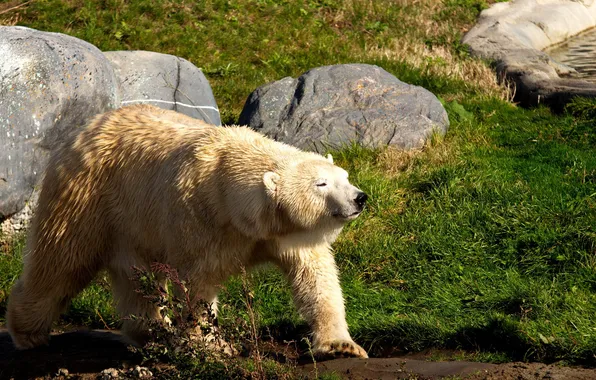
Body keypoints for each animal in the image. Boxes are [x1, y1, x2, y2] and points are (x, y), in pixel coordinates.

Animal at [5, 104, 368, 360]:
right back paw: (28, 332)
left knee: (135, 280)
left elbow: (316, 278)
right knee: (61, 260)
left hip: (132, 223)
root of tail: (85, 129)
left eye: (344, 176)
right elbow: (198, 285)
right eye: (321, 184)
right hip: (87, 197)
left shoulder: (285, 234)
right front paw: (210, 346)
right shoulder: (200, 221)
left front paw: (341, 346)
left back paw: (151, 333)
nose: (360, 197)